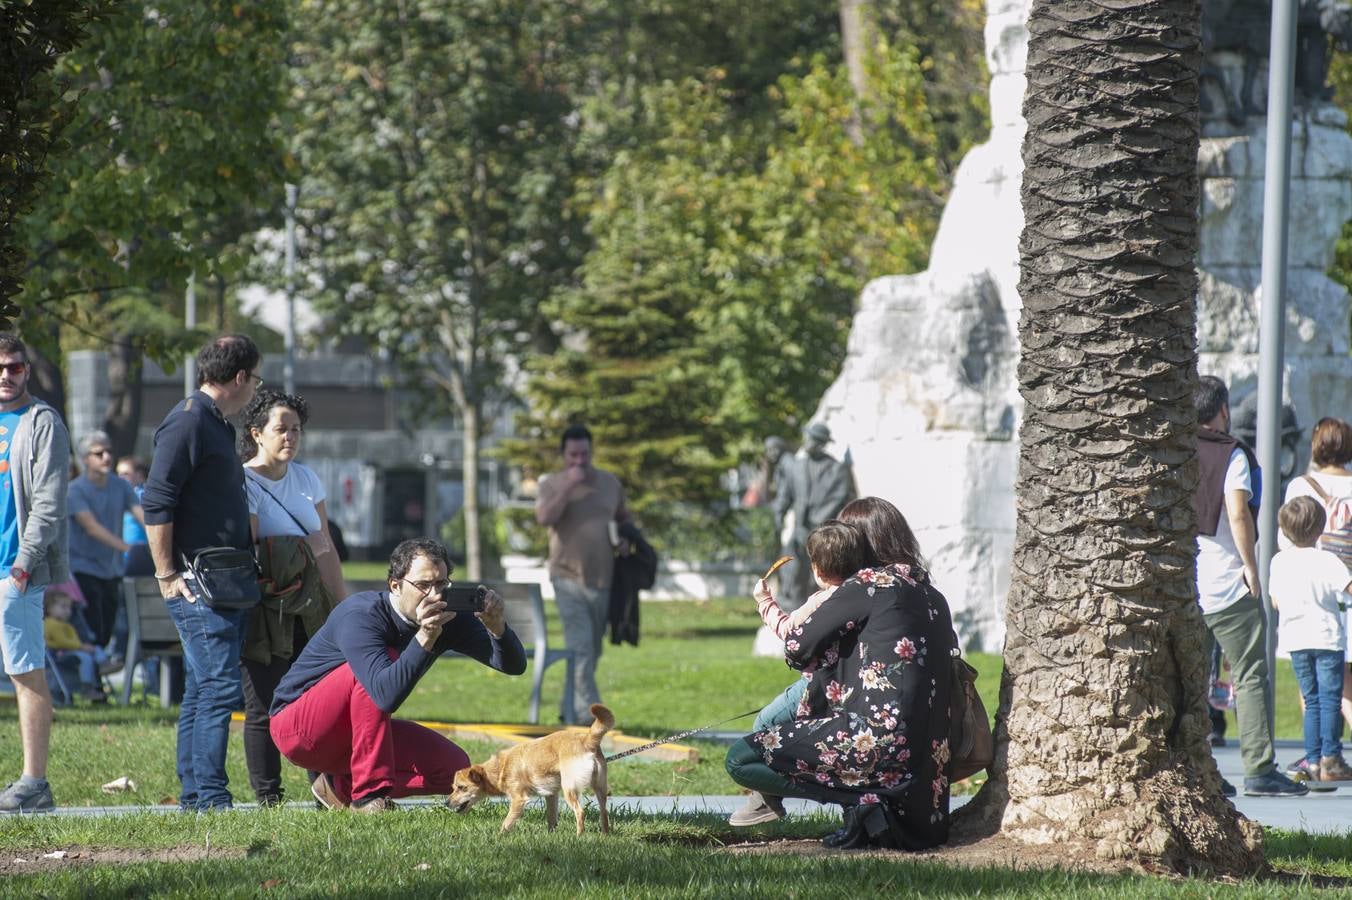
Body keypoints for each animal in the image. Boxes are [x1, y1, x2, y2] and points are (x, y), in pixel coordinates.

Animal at [443, 702, 613, 832]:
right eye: (453, 787)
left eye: (462, 787)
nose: (446, 803)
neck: (500, 768)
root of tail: (586, 740)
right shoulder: (551, 794)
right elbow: (551, 818)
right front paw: (551, 835)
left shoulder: (519, 800)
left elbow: (506, 824)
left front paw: (498, 837)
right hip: (600, 788)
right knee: (604, 813)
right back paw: (604, 835)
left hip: (569, 788)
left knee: (580, 812)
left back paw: (579, 836)